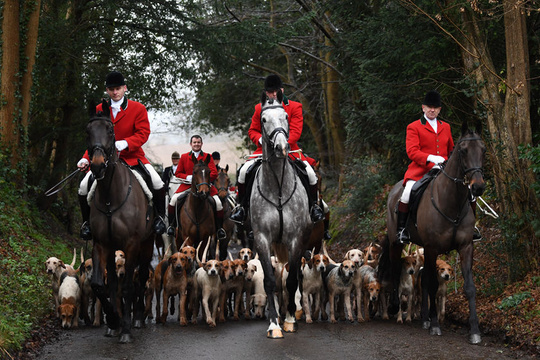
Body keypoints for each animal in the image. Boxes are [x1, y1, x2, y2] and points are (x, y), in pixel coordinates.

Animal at [249, 91, 312, 338]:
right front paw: (274, 324)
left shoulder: (296, 238)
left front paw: (290, 320)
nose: (282, 146)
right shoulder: (262, 239)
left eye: (286, 116)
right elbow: (269, 281)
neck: (276, 185)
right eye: (263, 119)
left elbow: (293, 279)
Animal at [384, 121, 486, 344]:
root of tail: (394, 189)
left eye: (483, 149)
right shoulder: (432, 248)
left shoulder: (466, 247)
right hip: (397, 242)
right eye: (463, 150)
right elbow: (430, 284)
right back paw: (396, 307)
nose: (478, 187)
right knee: (395, 269)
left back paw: (424, 319)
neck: (452, 201)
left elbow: (469, 287)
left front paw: (474, 330)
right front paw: (436, 325)